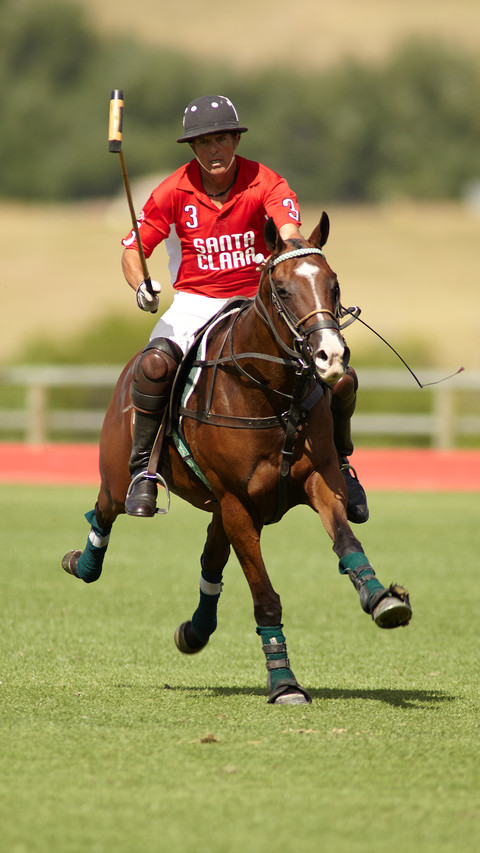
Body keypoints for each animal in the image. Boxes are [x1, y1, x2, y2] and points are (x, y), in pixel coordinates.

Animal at [62, 212, 412, 705]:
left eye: (334, 284)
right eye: (282, 289)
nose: (330, 356)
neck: (271, 393)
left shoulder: (317, 481)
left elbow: (347, 542)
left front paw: (383, 600)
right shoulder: (236, 503)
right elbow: (264, 596)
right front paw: (284, 683)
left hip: (229, 508)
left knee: (210, 560)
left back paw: (194, 631)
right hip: (124, 474)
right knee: (104, 510)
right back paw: (89, 554)